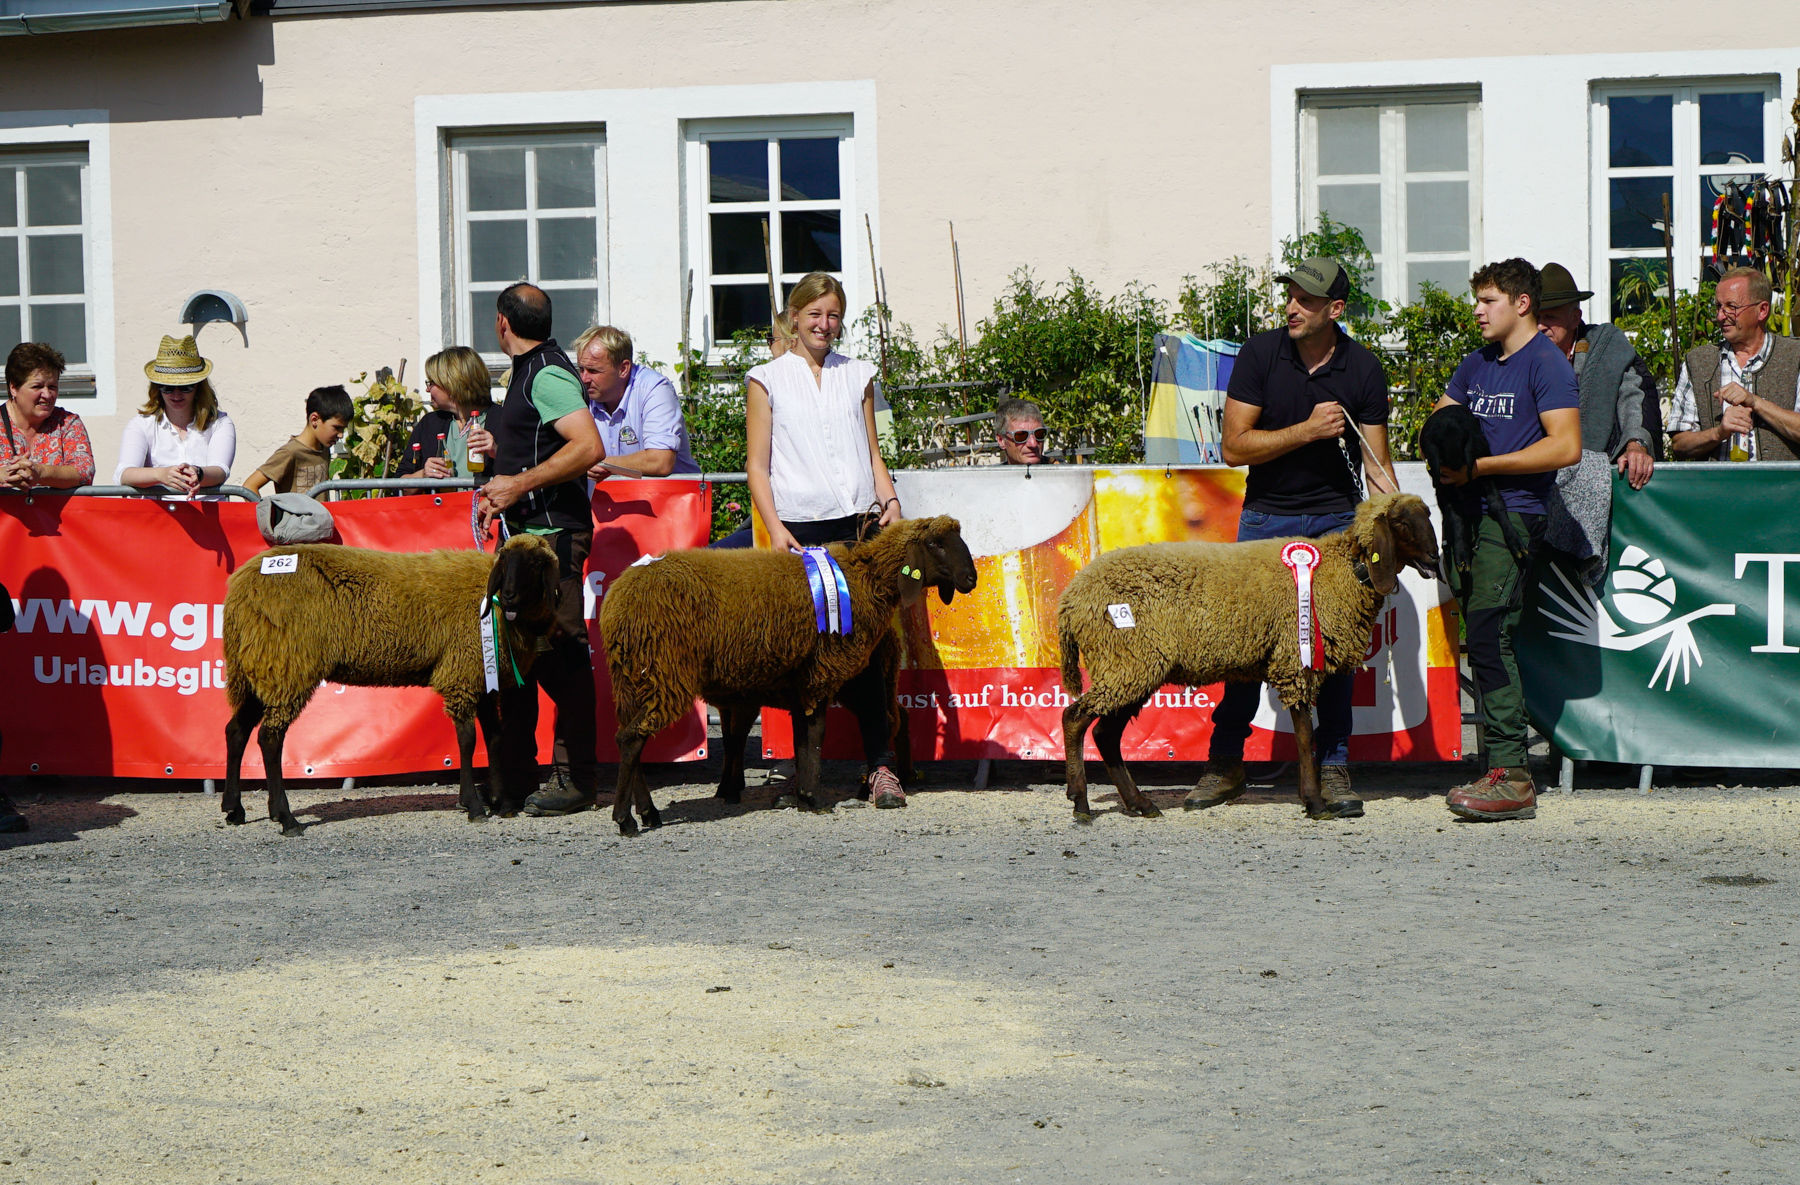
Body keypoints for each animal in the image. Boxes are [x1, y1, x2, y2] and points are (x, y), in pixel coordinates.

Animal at [224, 533, 561, 832]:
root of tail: (239, 588)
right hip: (286, 664)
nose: (509, 595)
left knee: (236, 731)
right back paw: (286, 818)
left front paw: (502, 803)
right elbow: (467, 739)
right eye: (506, 560)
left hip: (260, 666)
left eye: (535, 563)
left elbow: (494, 738)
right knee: (269, 738)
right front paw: (474, 805)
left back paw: (235, 809)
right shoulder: (462, 672)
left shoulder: (484, 678)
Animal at [597, 511, 979, 835]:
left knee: (629, 739)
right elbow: (814, 737)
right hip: (661, 674)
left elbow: (801, 739)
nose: (971, 578)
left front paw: (801, 796)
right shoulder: (819, 676)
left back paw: (648, 813)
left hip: (633, 680)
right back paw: (626, 819)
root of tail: (619, 602)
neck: (863, 581)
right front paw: (813, 798)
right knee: (631, 739)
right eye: (935, 543)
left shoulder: (800, 685)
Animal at [1058, 493, 1440, 817]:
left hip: (1132, 667)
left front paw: (1315, 798)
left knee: (1105, 734)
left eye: (1428, 515)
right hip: (1125, 661)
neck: (1340, 571)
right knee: (1074, 718)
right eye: (1401, 523)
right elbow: (1305, 738)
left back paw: (1140, 803)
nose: (1435, 559)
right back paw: (1081, 802)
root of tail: (1071, 596)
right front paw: (1314, 802)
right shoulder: (1296, 660)